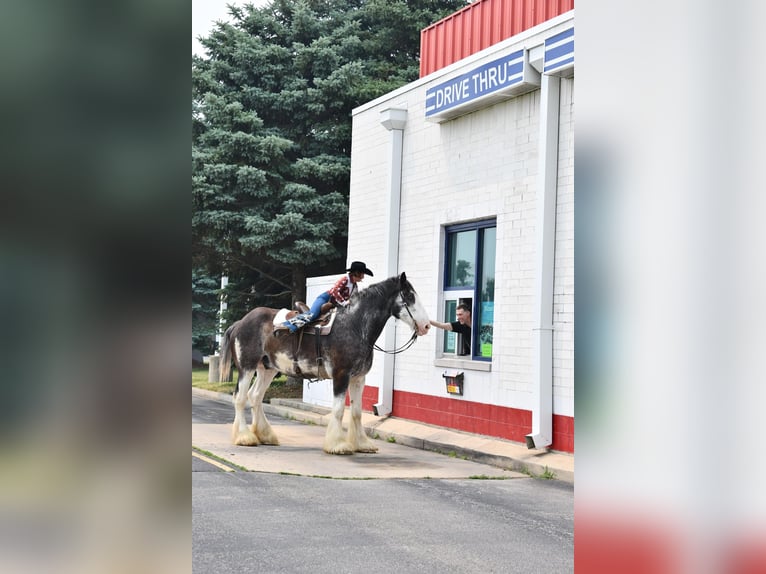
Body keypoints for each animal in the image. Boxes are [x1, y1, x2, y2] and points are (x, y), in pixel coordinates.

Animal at [219, 274, 432, 454]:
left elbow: (356, 412)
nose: (426, 326)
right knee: (240, 398)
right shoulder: (341, 375)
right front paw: (338, 445)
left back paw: (265, 436)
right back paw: (244, 437)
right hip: (246, 367)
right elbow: (338, 410)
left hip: (267, 370)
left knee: (255, 396)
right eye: (409, 296)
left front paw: (362, 444)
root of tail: (240, 323)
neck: (354, 325)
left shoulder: (358, 378)